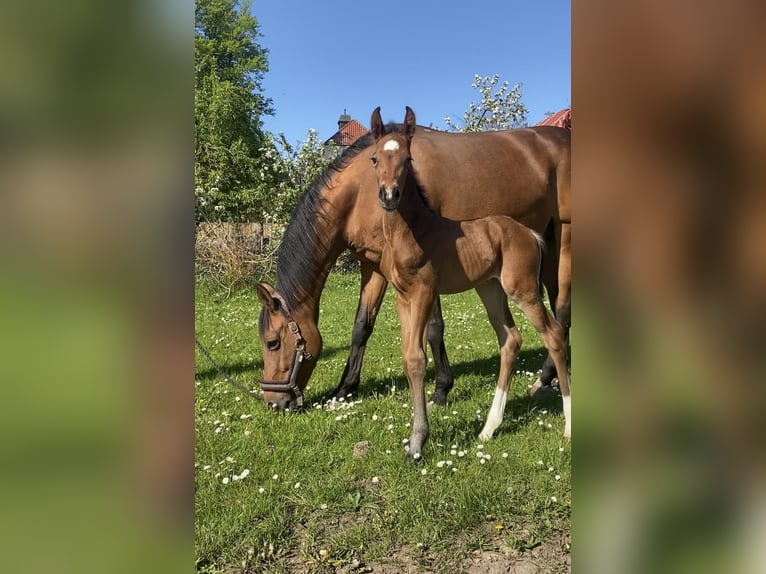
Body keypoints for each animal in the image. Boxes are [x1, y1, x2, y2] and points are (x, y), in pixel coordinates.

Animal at [372, 106, 568, 462]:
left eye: (407, 159)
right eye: (375, 158)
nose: (389, 196)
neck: (413, 231)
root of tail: (529, 233)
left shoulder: (424, 292)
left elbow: (417, 358)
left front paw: (418, 443)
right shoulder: (402, 297)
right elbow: (407, 358)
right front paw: (415, 438)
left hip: (523, 289)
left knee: (554, 334)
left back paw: (568, 426)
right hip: (490, 289)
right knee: (511, 339)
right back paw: (489, 428)